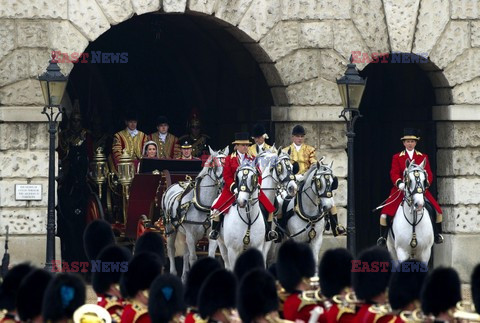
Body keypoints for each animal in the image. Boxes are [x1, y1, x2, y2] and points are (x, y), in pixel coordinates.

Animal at [161, 146, 229, 280]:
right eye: (214, 164)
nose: (224, 183)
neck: (203, 205)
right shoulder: (191, 235)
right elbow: (193, 258)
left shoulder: (212, 235)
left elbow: (209, 256)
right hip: (170, 228)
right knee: (171, 249)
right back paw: (173, 272)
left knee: (185, 252)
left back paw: (184, 275)